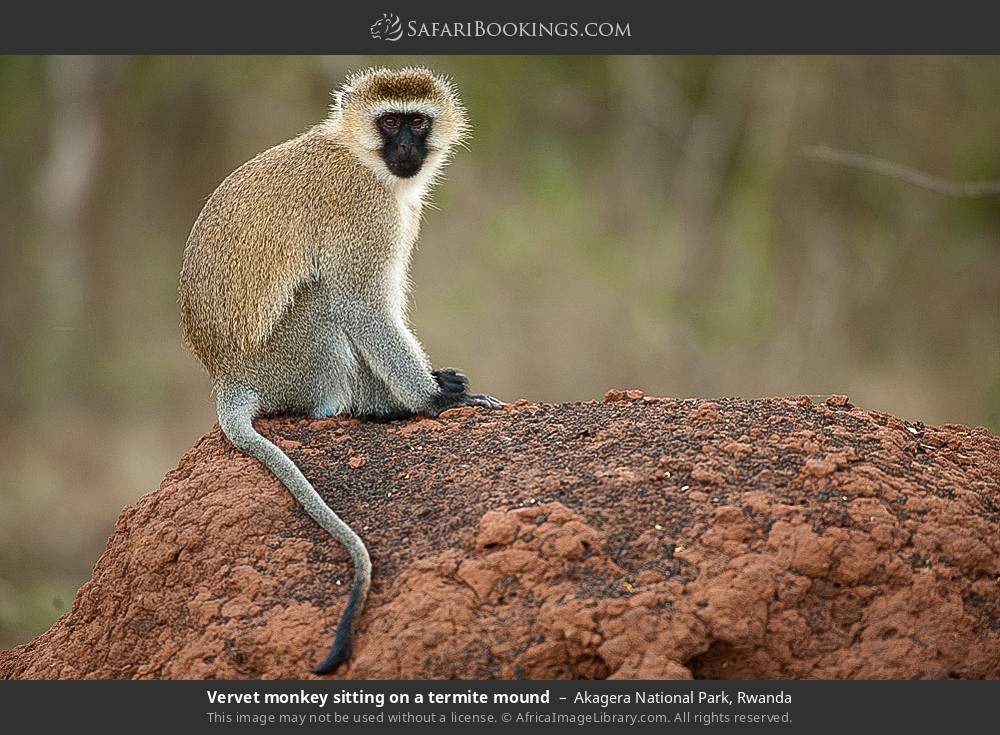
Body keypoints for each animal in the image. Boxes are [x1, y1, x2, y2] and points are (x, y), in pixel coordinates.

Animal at [178, 67, 503, 675]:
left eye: (417, 121)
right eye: (390, 122)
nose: (406, 148)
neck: (361, 157)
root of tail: (227, 378)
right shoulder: (363, 211)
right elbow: (362, 301)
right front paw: (433, 400)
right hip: (290, 362)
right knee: (329, 301)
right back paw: (370, 409)